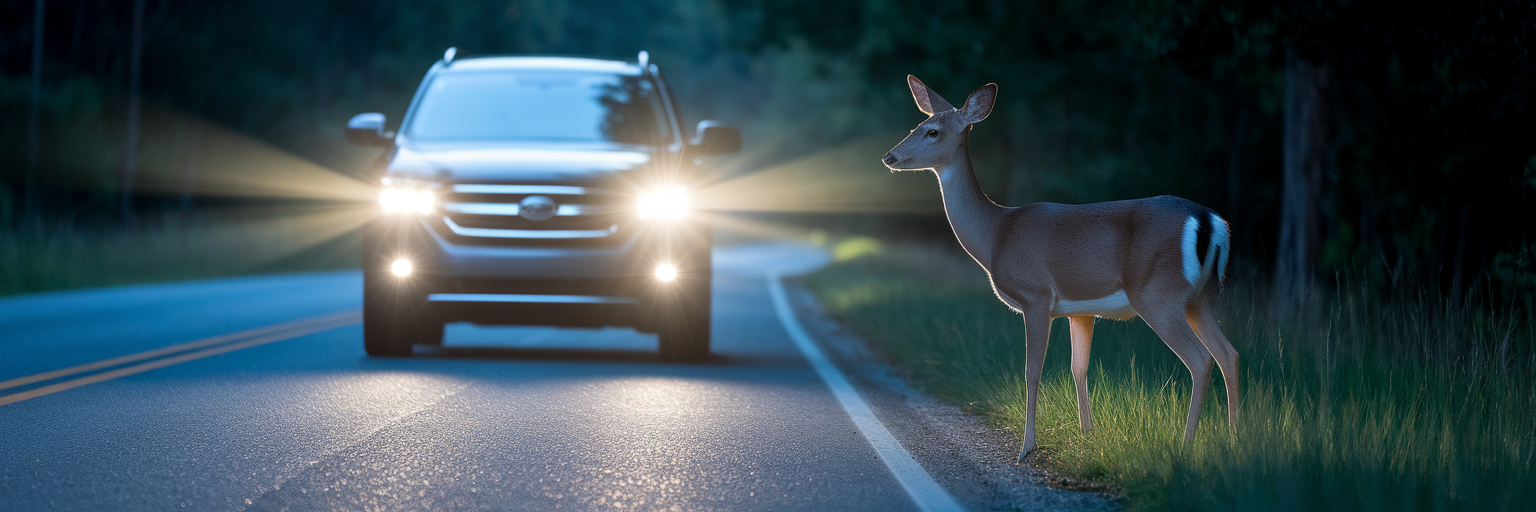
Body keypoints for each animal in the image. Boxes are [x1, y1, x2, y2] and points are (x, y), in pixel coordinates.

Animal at [882, 76, 1239, 461]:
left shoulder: (1036, 296)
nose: (890, 156)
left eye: (932, 131)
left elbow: (1032, 371)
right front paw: (1087, 436)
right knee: (1229, 355)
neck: (996, 233)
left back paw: (1186, 447)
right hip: (1200, 299)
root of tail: (1212, 221)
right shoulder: (1080, 310)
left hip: (1159, 295)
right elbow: (1078, 368)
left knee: (1201, 360)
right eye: (915, 127)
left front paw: (1026, 448)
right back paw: (1235, 439)